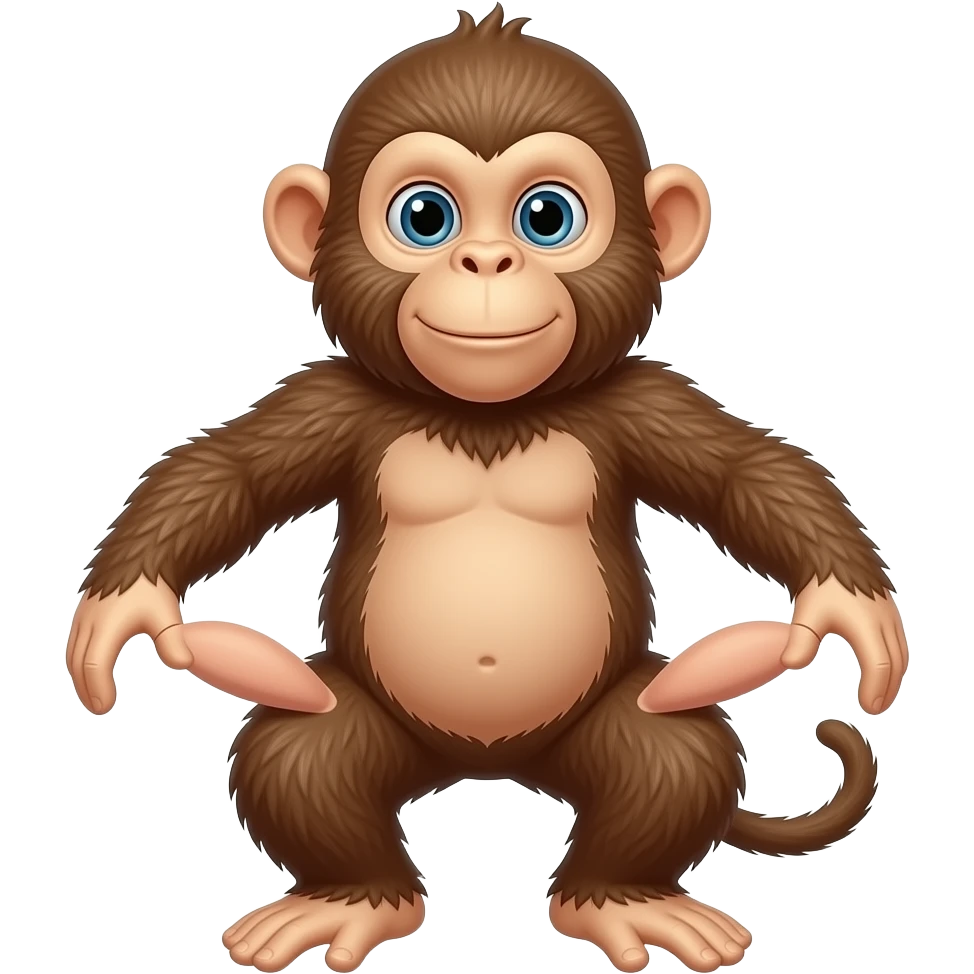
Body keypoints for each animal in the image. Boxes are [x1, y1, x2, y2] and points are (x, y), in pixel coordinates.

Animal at [64, 6, 908, 973]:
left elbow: (745, 469)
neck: (486, 419)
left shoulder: (637, 397)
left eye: (546, 215)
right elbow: (229, 470)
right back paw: (353, 898)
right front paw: (122, 607)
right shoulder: (336, 398)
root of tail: (490, 767)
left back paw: (621, 898)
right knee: (306, 748)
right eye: (425, 215)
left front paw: (851, 608)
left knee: (667, 746)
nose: (487, 261)